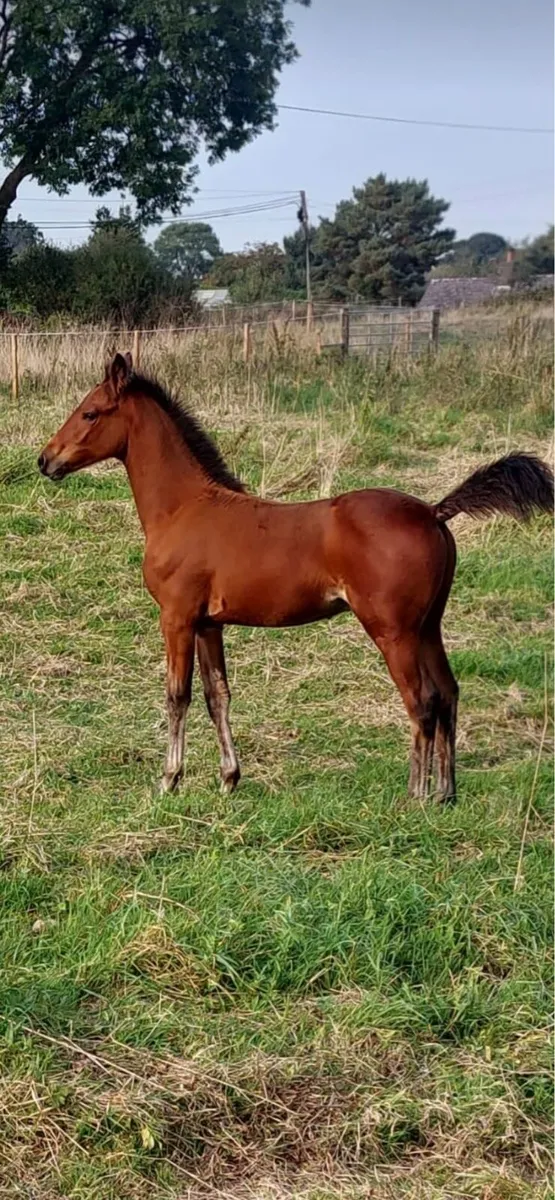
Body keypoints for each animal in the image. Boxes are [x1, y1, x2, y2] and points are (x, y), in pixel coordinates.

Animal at [38, 352, 553, 801]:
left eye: (89, 413)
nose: (46, 460)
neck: (184, 508)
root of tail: (432, 511)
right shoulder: (209, 624)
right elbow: (217, 695)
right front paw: (229, 779)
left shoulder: (177, 618)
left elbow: (177, 696)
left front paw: (169, 780)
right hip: (429, 626)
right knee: (448, 693)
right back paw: (446, 793)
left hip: (395, 631)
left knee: (421, 701)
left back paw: (416, 795)